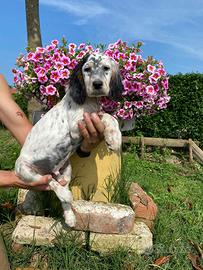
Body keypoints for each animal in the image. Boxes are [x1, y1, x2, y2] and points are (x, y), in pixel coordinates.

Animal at [15, 52, 123, 226]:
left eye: (106, 68)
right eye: (87, 69)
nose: (97, 84)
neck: (88, 100)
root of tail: (49, 171)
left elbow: (109, 116)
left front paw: (114, 136)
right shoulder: (76, 126)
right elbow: (106, 115)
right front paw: (114, 138)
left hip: (66, 170)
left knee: (58, 187)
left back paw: (70, 218)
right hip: (24, 171)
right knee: (48, 182)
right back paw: (65, 194)